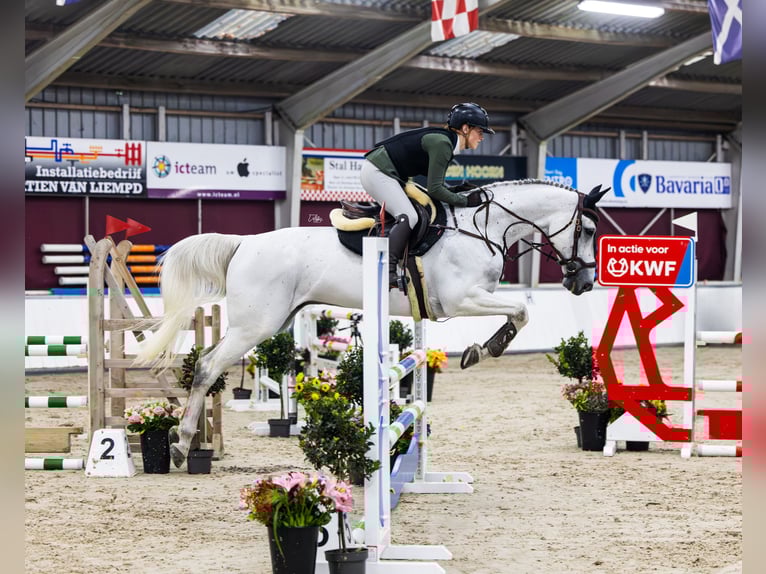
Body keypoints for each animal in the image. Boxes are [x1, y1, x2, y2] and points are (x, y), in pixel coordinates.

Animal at [135, 179, 608, 466]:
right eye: (586, 230)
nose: (584, 282)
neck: (483, 227)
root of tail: (243, 243)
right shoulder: (462, 299)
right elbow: (521, 311)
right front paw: (484, 349)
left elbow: (520, 312)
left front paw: (481, 348)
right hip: (256, 326)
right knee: (207, 366)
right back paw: (181, 444)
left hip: (272, 321)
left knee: (209, 365)